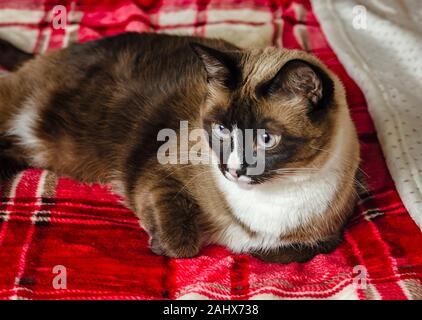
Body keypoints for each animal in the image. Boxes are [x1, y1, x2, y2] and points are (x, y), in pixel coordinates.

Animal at [0, 32, 360, 262]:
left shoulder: (324, 240)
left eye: (266, 139)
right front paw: (158, 244)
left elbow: (281, 254)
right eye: (221, 130)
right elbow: (182, 245)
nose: (233, 170)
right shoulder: (159, 173)